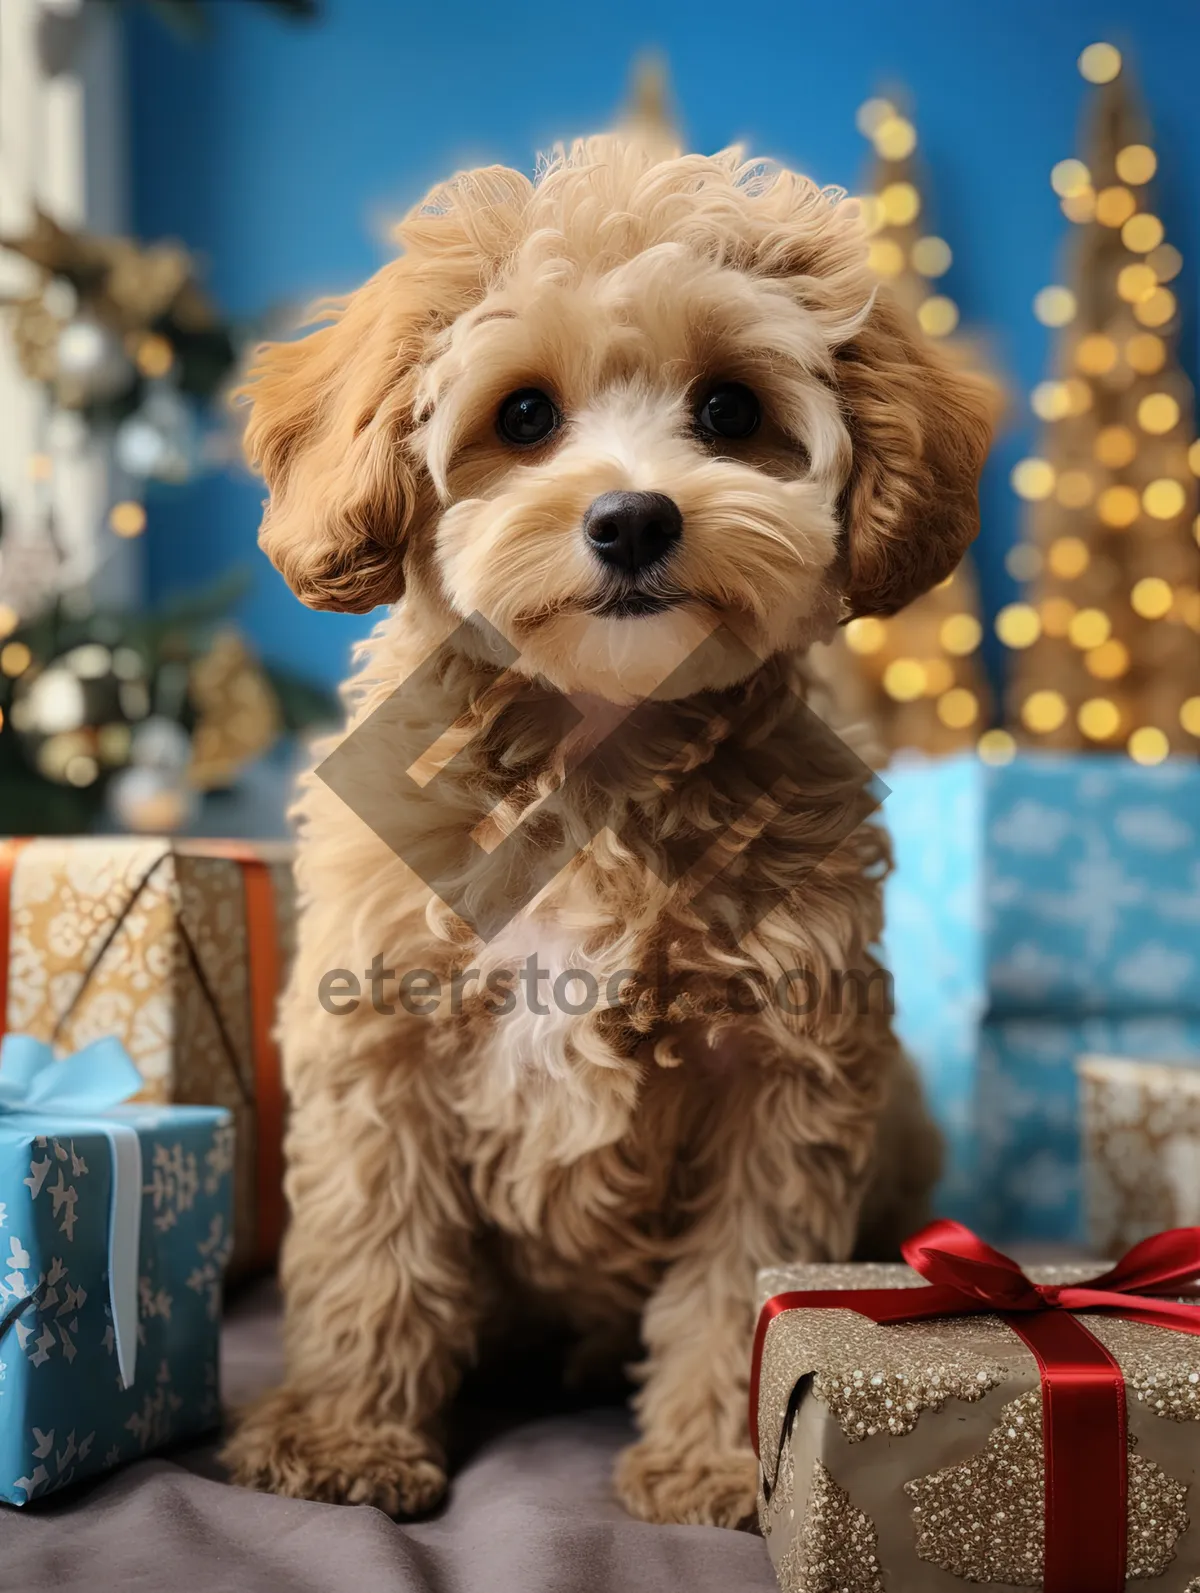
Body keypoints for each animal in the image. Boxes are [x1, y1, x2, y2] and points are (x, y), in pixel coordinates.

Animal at [219, 127, 988, 1529]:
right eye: (524, 416)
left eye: (729, 411)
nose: (633, 516)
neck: (598, 749)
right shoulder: (383, 1037)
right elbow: (373, 1250)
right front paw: (345, 1436)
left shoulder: (780, 1069)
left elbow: (741, 1277)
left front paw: (721, 1462)